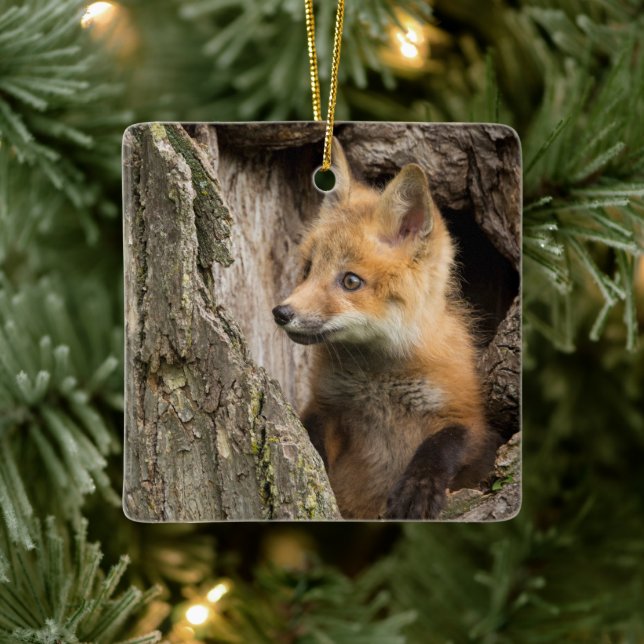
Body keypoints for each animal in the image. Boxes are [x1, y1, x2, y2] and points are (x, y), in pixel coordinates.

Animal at [272, 139, 496, 520]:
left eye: (350, 281)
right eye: (308, 269)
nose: (281, 313)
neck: (378, 382)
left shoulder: (468, 416)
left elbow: (442, 444)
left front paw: (418, 488)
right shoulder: (326, 406)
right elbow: (312, 440)